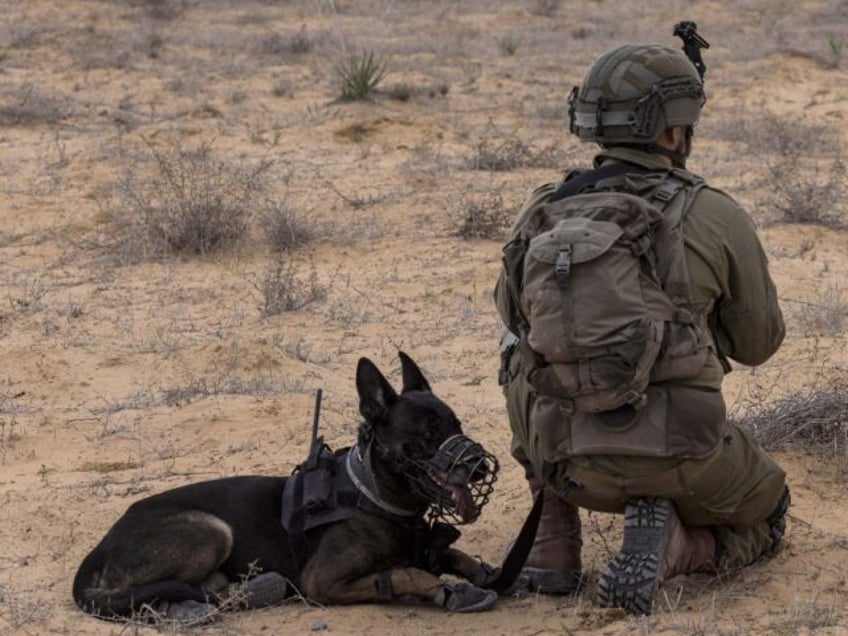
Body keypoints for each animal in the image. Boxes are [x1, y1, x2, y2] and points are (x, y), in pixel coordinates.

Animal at [73, 352, 500, 620]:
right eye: (428, 435)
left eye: (457, 425)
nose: (480, 466)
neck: (372, 494)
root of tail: (102, 545)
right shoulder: (322, 582)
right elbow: (405, 574)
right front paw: (445, 589)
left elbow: (454, 555)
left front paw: (483, 572)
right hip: (212, 530)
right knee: (154, 592)